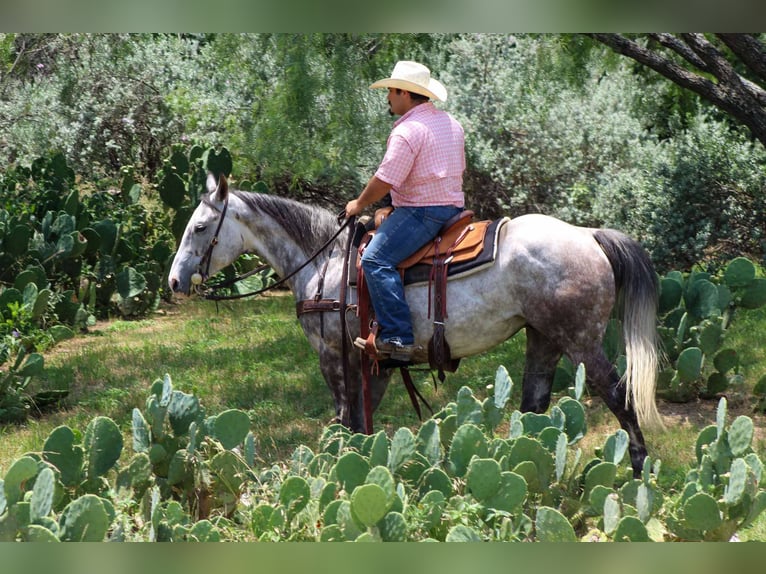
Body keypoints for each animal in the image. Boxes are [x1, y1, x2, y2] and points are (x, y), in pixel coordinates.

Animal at [168, 173, 663, 476]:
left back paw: (639, 470)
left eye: (200, 227)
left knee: (619, 397)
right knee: (535, 404)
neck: (325, 262)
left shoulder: (334, 357)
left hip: (581, 340)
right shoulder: (375, 363)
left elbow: (343, 421)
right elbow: (361, 423)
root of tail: (587, 235)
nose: (174, 280)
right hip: (543, 337)